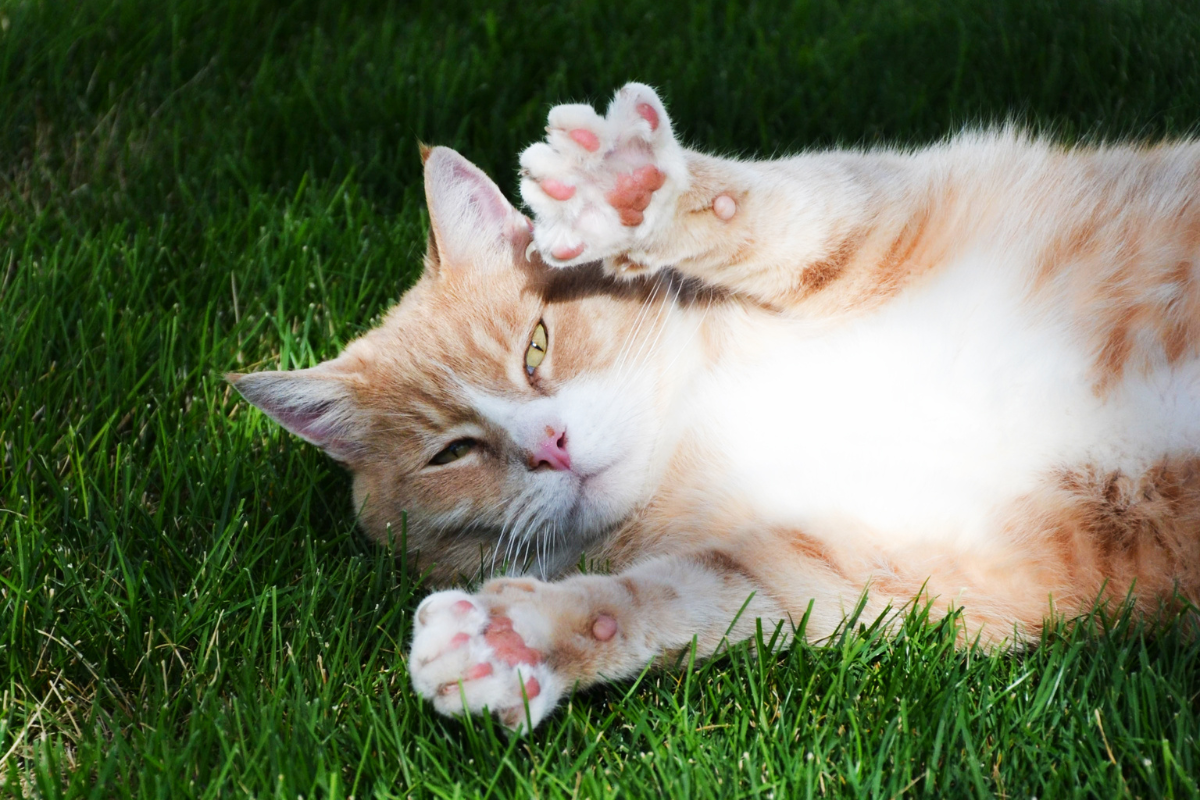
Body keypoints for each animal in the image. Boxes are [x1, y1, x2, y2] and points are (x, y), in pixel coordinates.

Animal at [226, 82, 1200, 734]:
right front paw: (518, 640)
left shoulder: (878, 215)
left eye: (536, 346)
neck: (702, 420)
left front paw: (628, 193)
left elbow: (778, 213)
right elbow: (664, 601)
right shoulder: (862, 569)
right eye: (451, 453)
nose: (550, 445)